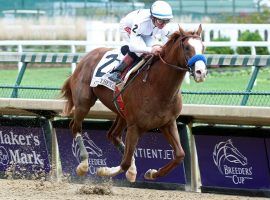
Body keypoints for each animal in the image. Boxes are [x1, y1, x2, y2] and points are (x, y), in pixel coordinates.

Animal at [61, 24, 208, 182]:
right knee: (76, 127)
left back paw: (131, 169)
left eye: (203, 47)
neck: (156, 86)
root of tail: (87, 56)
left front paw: (152, 173)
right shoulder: (134, 126)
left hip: (121, 112)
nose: (201, 72)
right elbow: (124, 162)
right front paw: (104, 171)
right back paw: (83, 164)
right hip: (84, 103)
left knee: (113, 135)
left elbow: (180, 155)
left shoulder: (168, 123)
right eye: (187, 47)